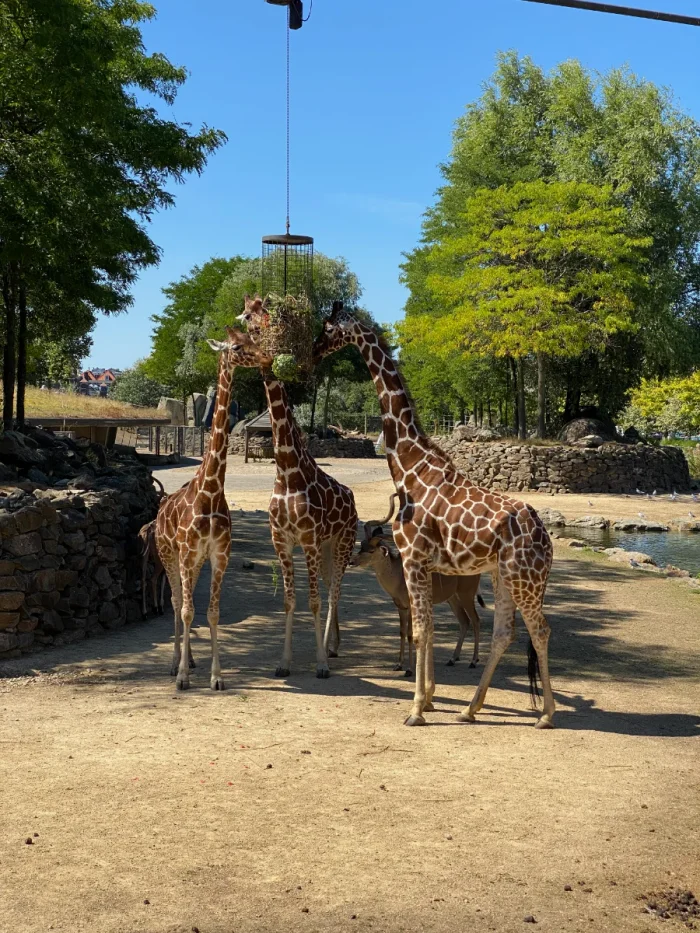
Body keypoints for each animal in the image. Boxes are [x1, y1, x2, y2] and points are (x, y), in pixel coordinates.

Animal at [155, 330, 261, 690]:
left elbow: (212, 612)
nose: (265, 356)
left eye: (253, 338)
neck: (211, 492)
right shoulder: (187, 553)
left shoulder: (218, 554)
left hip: (195, 561)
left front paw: (216, 677)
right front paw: (182, 677)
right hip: (168, 554)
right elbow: (187, 611)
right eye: (238, 346)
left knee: (187, 602)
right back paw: (175, 664)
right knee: (176, 603)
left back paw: (191, 660)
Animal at [231, 302, 358, 677]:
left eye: (259, 319)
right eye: (245, 318)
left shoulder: (309, 540)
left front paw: (320, 665)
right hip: (329, 547)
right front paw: (284, 663)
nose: (259, 348)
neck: (287, 471)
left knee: (334, 591)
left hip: (342, 542)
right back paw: (333, 645)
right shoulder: (282, 541)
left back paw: (329, 650)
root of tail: (352, 499)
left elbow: (313, 600)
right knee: (332, 587)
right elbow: (290, 600)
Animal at [313, 309, 556, 728]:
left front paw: (415, 709)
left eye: (328, 329)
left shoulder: (413, 558)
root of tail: (548, 540)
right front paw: (427, 700)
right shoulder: (424, 563)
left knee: (540, 630)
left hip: (525, 578)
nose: (312, 352)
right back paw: (470, 709)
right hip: (503, 576)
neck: (409, 466)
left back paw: (546, 716)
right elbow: (423, 630)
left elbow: (420, 630)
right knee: (503, 633)